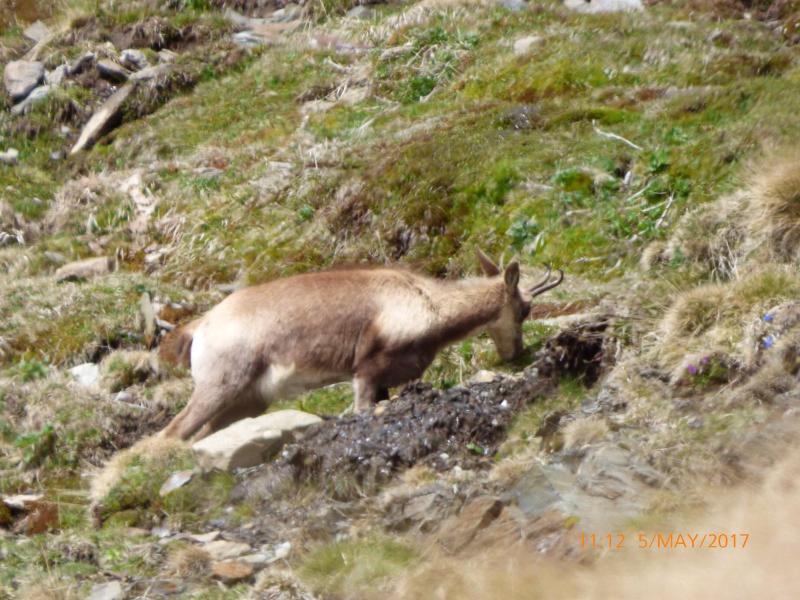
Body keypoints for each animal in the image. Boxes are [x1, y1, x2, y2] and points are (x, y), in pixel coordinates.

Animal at [157, 250, 564, 440]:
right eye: (525, 308)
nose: (516, 353)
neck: (428, 303)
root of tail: (201, 326)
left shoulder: (383, 382)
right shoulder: (366, 371)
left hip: (248, 400)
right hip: (220, 386)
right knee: (170, 434)